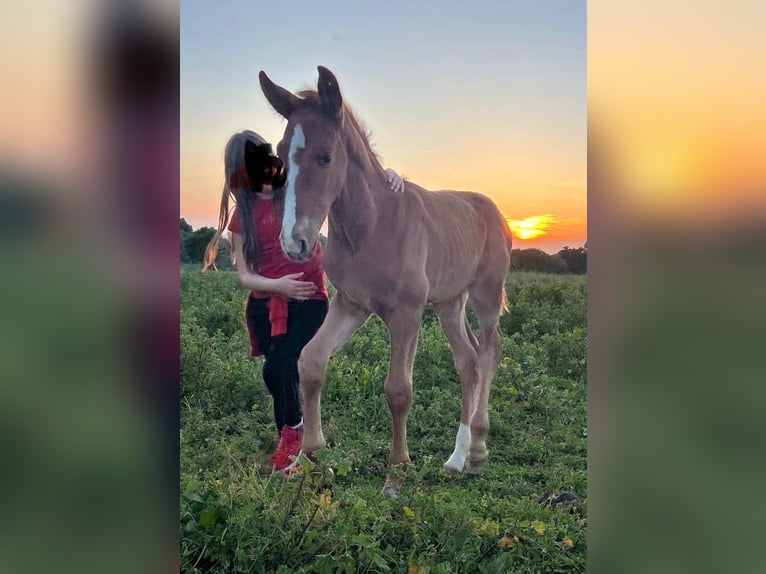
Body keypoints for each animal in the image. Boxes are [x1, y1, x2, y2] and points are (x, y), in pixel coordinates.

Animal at [259, 66, 513, 496]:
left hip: (486, 294)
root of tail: (494, 211)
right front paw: (311, 456)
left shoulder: (406, 312)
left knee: (489, 353)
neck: (371, 226)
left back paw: (478, 450)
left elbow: (398, 390)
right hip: (449, 301)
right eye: (280, 153)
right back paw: (456, 459)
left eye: (325, 156)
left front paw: (396, 474)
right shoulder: (351, 304)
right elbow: (310, 361)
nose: (295, 242)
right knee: (468, 360)